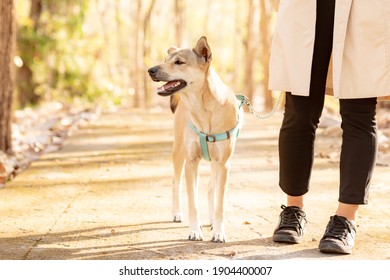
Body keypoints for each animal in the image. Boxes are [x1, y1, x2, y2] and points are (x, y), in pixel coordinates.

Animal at [148, 36, 242, 243]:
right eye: (165, 60)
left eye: (179, 62)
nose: (150, 70)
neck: (204, 107)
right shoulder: (191, 162)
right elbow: (193, 202)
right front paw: (194, 231)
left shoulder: (224, 164)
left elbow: (220, 203)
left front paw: (218, 231)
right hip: (178, 151)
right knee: (176, 183)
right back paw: (176, 213)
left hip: (215, 164)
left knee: (211, 189)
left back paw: (212, 220)